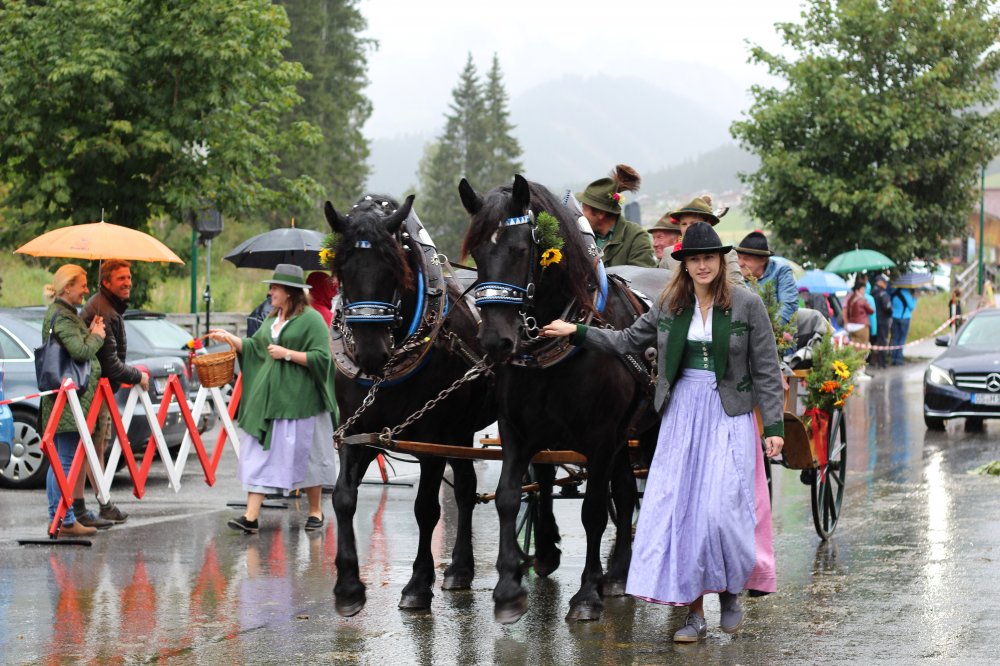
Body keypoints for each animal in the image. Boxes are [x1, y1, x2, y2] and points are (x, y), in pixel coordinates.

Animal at [324, 193, 498, 616]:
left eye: (395, 268)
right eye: (342, 270)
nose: (370, 352)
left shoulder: (431, 438)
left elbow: (426, 508)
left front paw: (418, 586)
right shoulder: (357, 431)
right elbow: (343, 498)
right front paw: (348, 588)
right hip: (461, 430)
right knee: (466, 488)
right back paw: (460, 569)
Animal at [459, 175, 651, 623]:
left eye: (520, 249)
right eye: (477, 252)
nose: (495, 341)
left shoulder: (600, 438)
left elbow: (593, 510)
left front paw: (586, 594)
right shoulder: (517, 431)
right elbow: (509, 497)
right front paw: (509, 591)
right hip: (623, 439)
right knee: (626, 493)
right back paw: (618, 574)